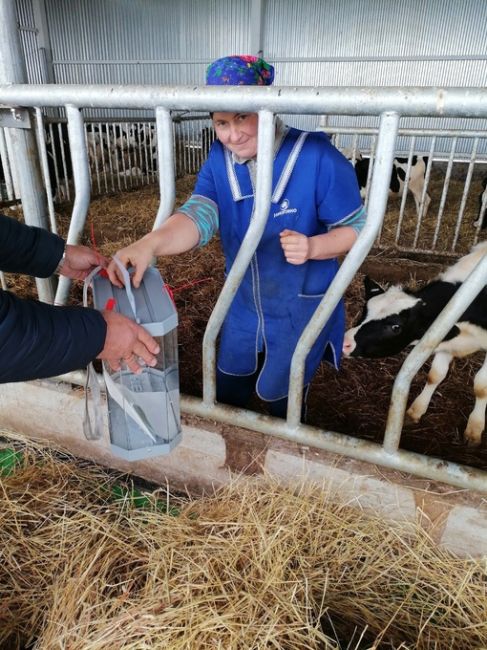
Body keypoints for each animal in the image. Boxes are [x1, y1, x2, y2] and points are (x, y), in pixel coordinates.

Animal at [344, 242, 487, 446]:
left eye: (395, 327)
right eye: (364, 310)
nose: (346, 342)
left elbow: (481, 387)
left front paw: (475, 428)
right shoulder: (444, 335)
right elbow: (435, 375)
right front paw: (416, 409)